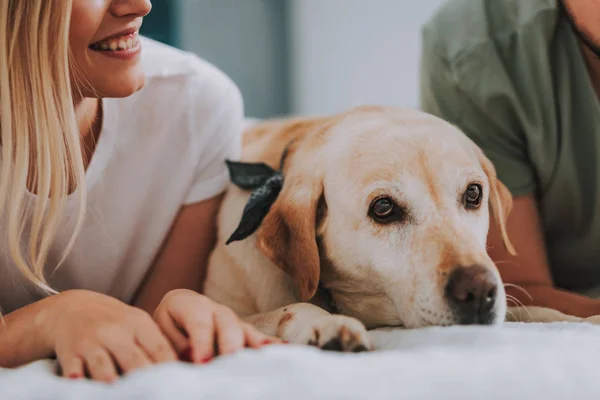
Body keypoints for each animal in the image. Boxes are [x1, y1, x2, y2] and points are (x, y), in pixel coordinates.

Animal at [204, 104, 596, 352]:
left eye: (473, 194)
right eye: (383, 208)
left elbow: (539, 312)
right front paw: (326, 324)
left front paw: (589, 319)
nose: (479, 291)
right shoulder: (229, 308)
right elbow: (285, 310)